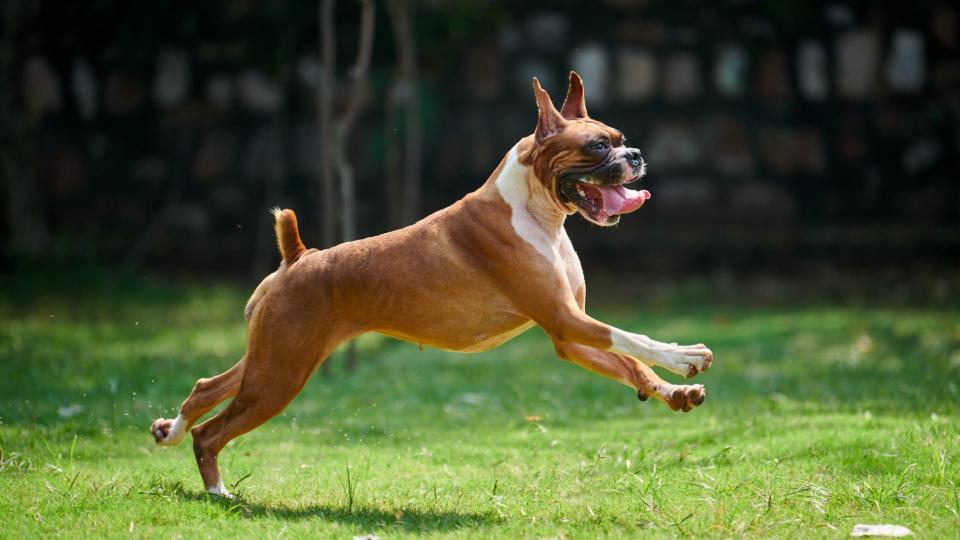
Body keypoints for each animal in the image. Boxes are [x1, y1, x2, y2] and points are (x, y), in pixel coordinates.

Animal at [150, 73, 712, 498]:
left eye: (620, 137)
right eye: (597, 146)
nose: (635, 154)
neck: (537, 209)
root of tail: (298, 257)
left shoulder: (567, 337)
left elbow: (631, 364)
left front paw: (674, 390)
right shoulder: (566, 320)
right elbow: (633, 339)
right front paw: (685, 355)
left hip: (270, 358)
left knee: (206, 388)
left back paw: (170, 432)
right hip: (279, 376)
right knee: (213, 430)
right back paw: (219, 492)